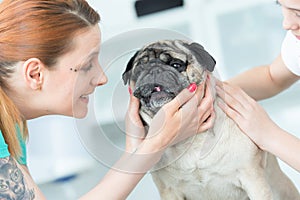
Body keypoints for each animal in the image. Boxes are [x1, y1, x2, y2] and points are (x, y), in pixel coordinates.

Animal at [122, 39, 300, 199]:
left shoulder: (253, 180)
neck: (191, 139)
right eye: (139, 69)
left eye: (176, 65)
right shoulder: (169, 191)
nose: (154, 69)